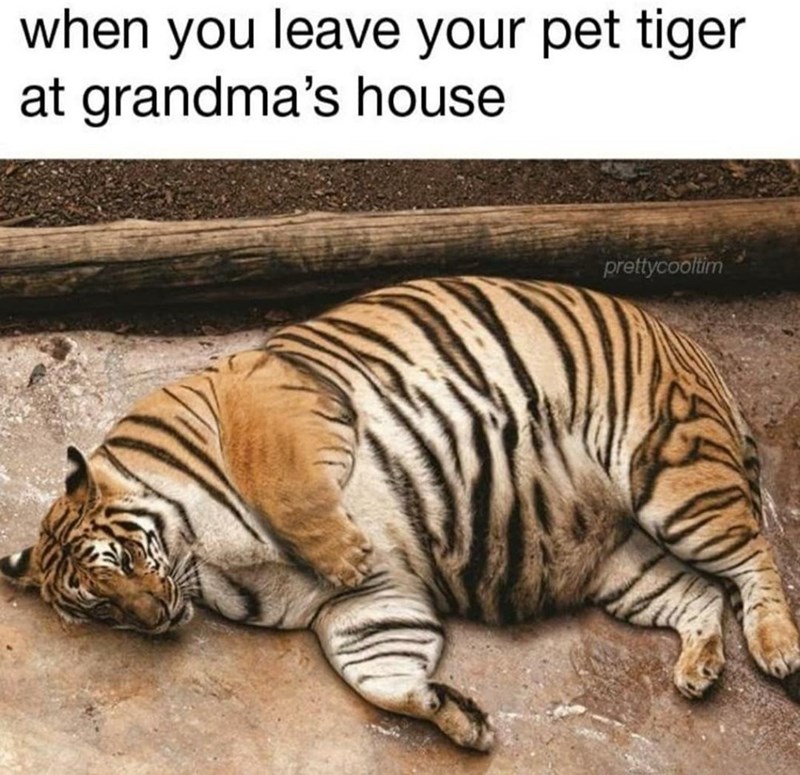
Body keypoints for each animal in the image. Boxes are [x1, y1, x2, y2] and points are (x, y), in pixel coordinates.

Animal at [2, 276, 799, 751]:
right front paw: (456, 715)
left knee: (755, 554)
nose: (154, 619)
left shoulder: (271, 396)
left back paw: (777, 648)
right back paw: (701, 668)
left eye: (123, 561)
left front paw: (343, 549)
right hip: (624, 562)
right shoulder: (362, 607)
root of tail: (692, 347)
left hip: (671, 479)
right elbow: (376, 669)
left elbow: (284, 481)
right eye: (99, 608)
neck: (198, 560)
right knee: (700, 594)